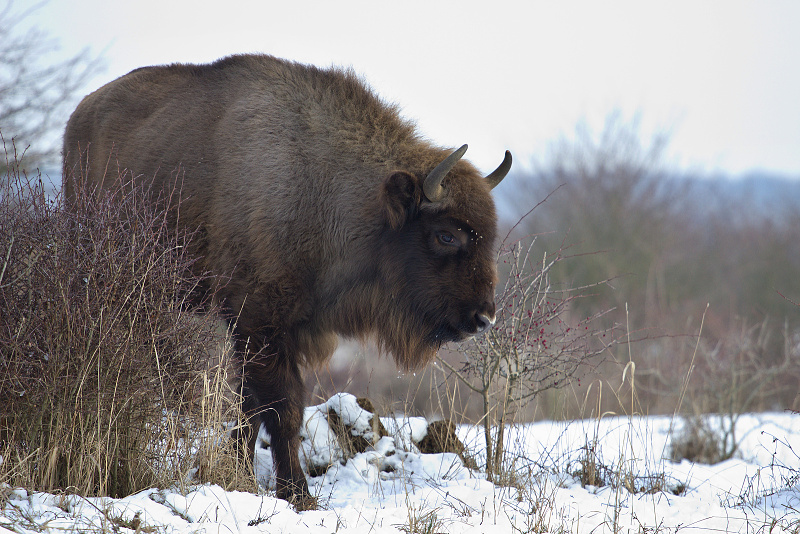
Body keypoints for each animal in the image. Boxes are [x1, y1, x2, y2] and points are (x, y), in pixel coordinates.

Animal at [64, 53, 512, 506]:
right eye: (446, 235)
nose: (484, 318)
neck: (330, 191)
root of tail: (79, 114)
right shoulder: (260, 324)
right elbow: (284, 408)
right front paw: (298, 493)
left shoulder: (274, 332)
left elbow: (251, 408)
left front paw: (241, 474)